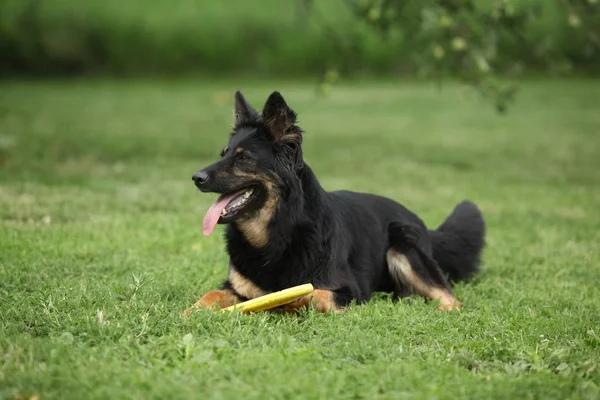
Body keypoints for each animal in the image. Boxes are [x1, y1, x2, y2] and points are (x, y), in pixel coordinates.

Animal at [188, 90, 488, 316]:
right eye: (223, 154)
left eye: (243, 158)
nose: (196, 178)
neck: (278, 234)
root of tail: (421, 224)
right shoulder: (236, 289)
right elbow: (212, 293)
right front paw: (191, 311)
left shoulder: (349, 290)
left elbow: (313, 295)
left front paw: (291, 304)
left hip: (403, 245)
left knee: (451, 297)